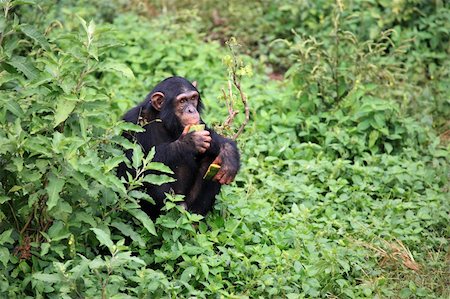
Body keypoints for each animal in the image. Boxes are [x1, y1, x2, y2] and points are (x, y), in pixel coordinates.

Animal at [118, 76, 241, 219]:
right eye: (182, 101)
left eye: (193, 98)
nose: (191, 110)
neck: (163, 120)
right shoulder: (132, 122)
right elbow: (129, 168)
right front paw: (189, 142)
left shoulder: (199, 122)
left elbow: (211, 135)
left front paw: (229, 154)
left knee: (212, 159)